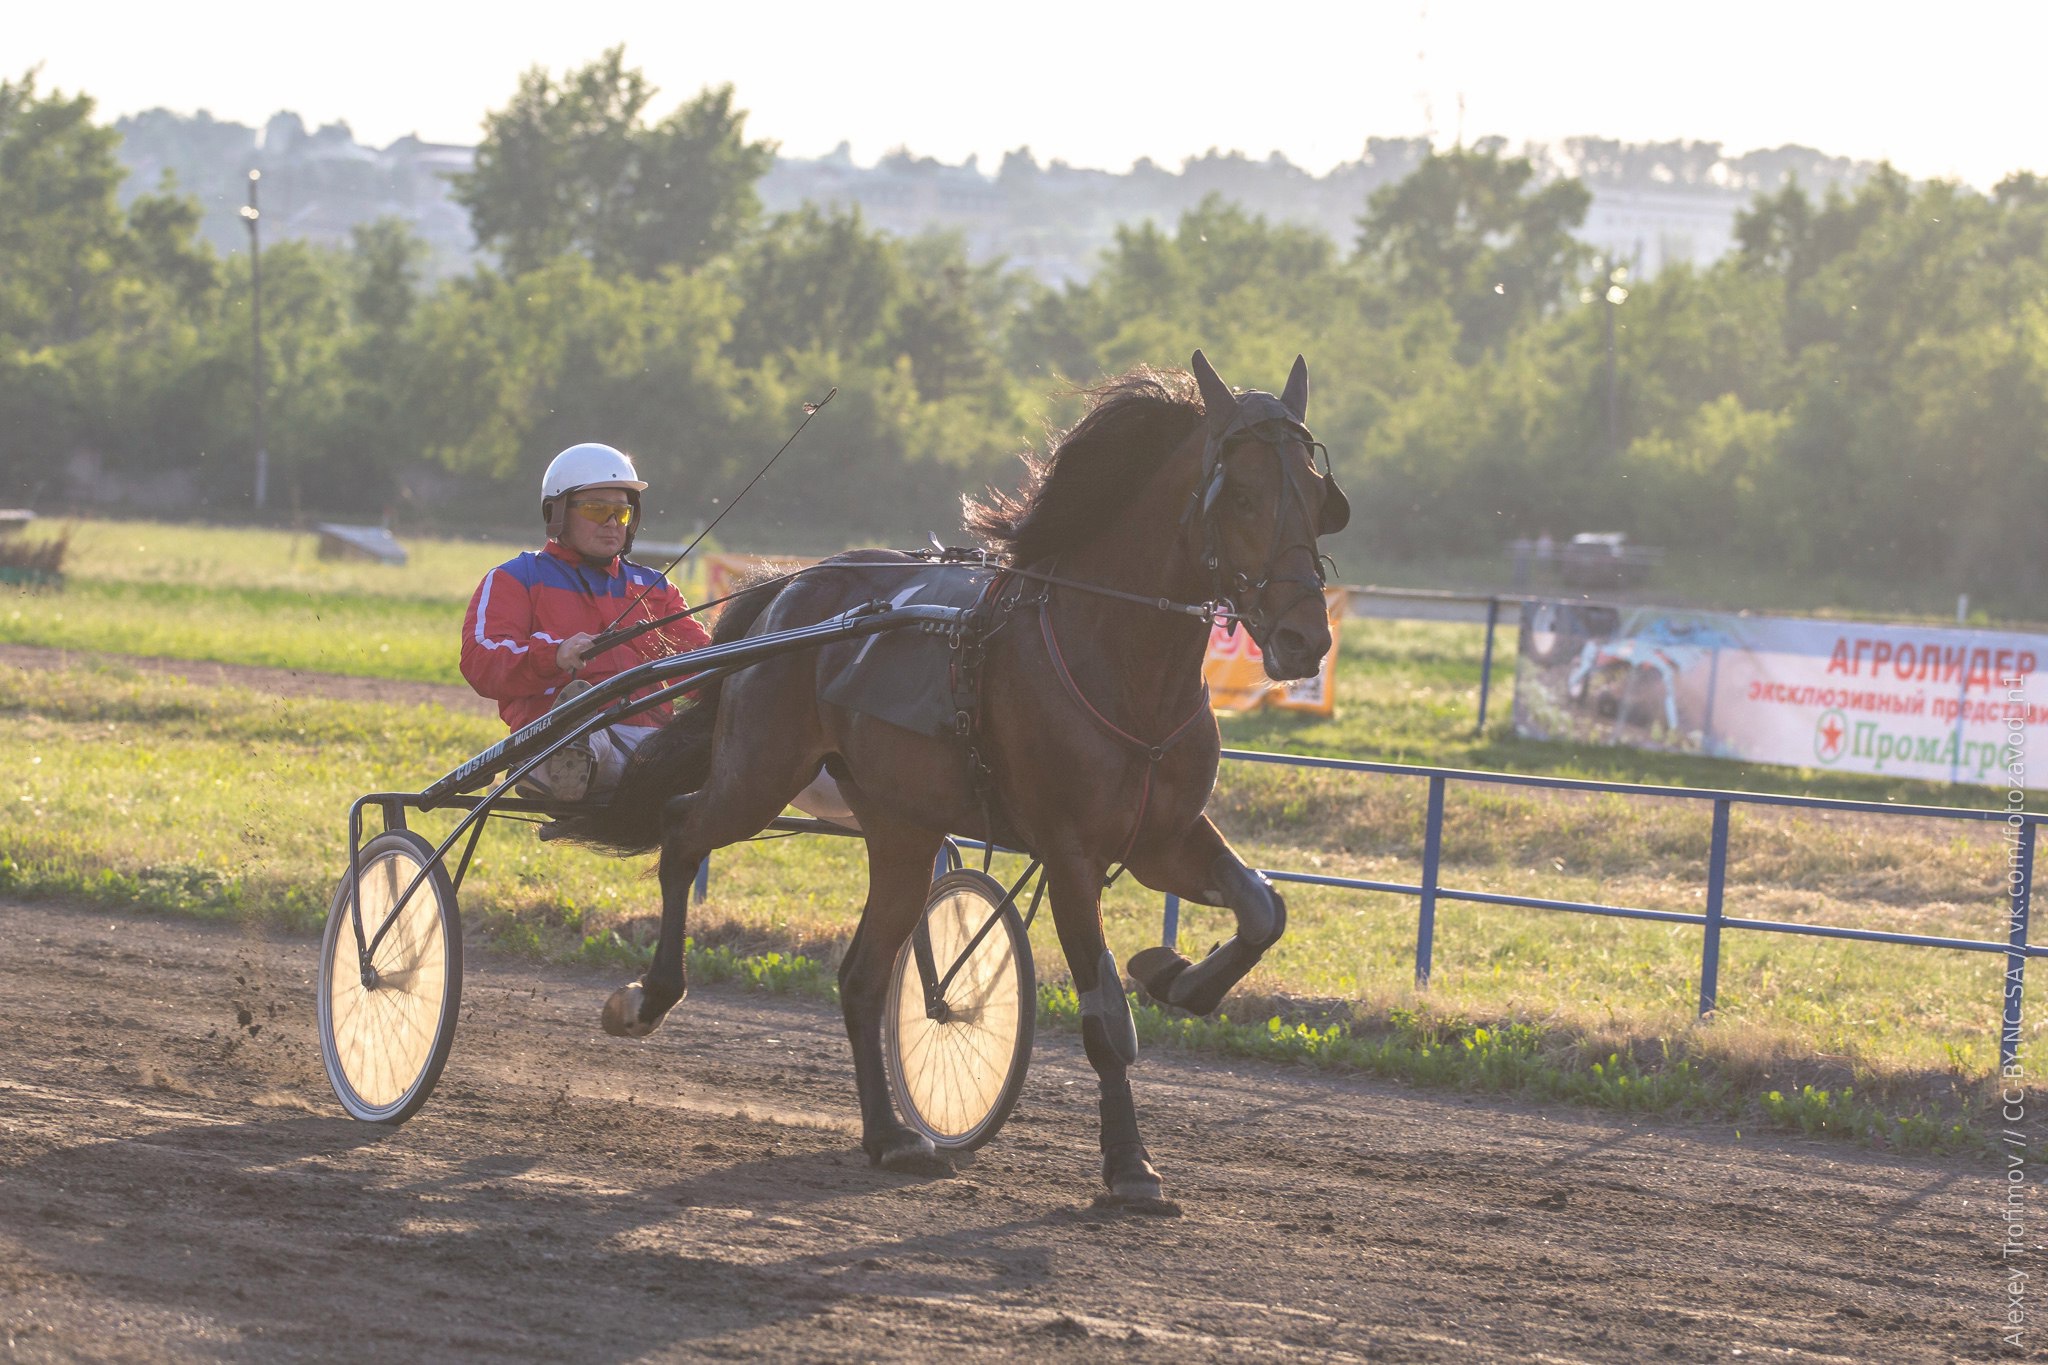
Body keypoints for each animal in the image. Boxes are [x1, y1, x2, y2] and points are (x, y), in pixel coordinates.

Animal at [561, 356, 1351, 1203]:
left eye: (1316, 495)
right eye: (1242, 494)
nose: (1305, 638)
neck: (1122, 662)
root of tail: (793, 586)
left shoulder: (1164, 837)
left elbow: (1264, 910)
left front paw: (1175, 974)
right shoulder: (1070, 852)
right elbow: (1105, 1015)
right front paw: (1130, 1166)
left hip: (901, 827)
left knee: (863, 976)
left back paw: (892, 1134)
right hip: (758, 773)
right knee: (682, 827)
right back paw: (647, 998)